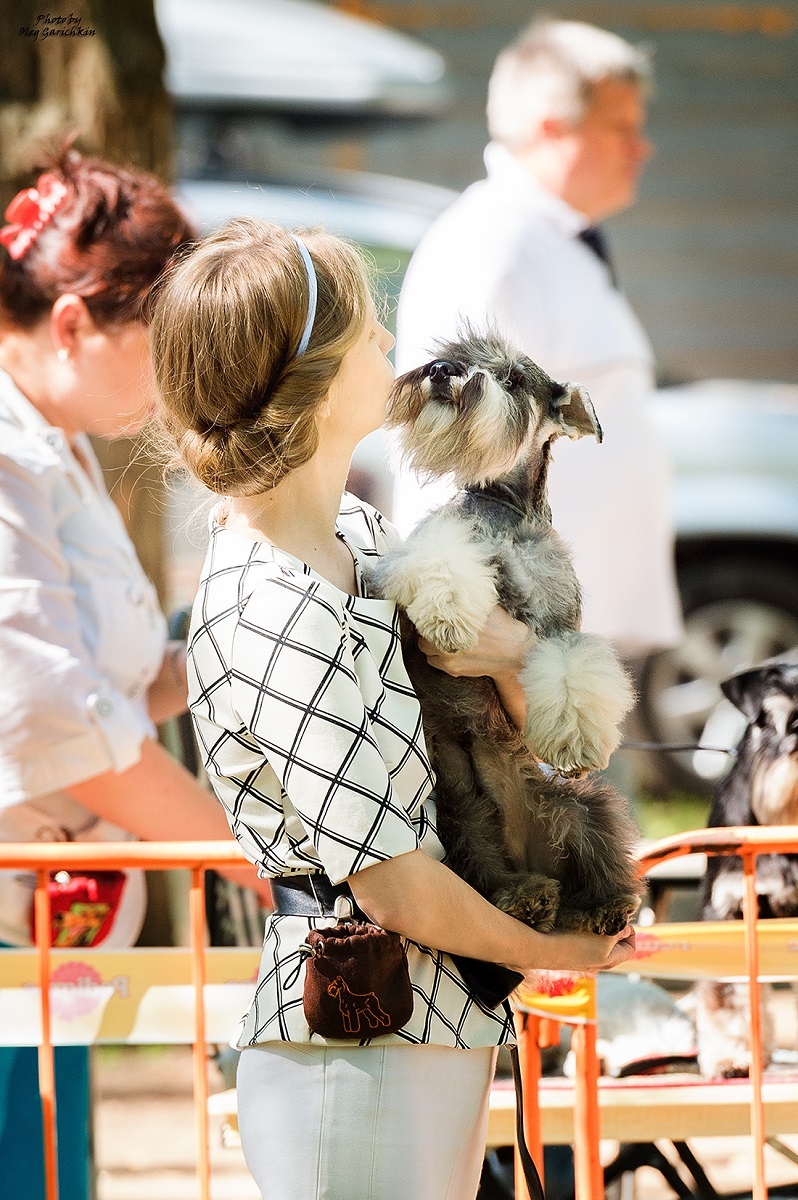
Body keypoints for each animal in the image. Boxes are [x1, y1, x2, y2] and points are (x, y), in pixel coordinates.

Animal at [367, 331, 643, 936]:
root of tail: (525, 851)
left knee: (597, 861)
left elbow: (569, 668)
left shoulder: (559, 627)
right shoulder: (436, 544)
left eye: (514, 378)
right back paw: (525, 897)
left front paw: (576, 739)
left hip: (584, 808)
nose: (441, 371)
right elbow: (445, 560)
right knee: (487, 874)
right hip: (460, 822)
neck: (505, 511)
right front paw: (448, 618)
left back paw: (605, 906)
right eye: (458, 351)